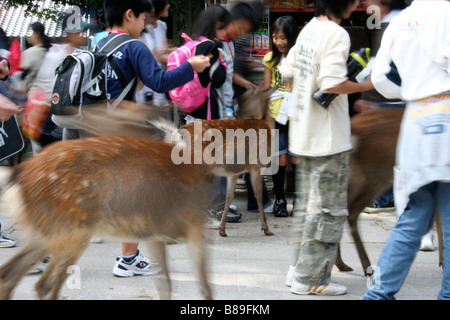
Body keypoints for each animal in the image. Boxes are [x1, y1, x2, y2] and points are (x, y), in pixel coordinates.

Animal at [0, 136, 213, 300]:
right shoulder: (194, 221)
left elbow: (166, 285)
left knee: (8, 274)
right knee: (45, 285)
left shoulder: (154, 234)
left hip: (44, 232)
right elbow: (204, 284)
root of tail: (16, 175)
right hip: (72, 230)